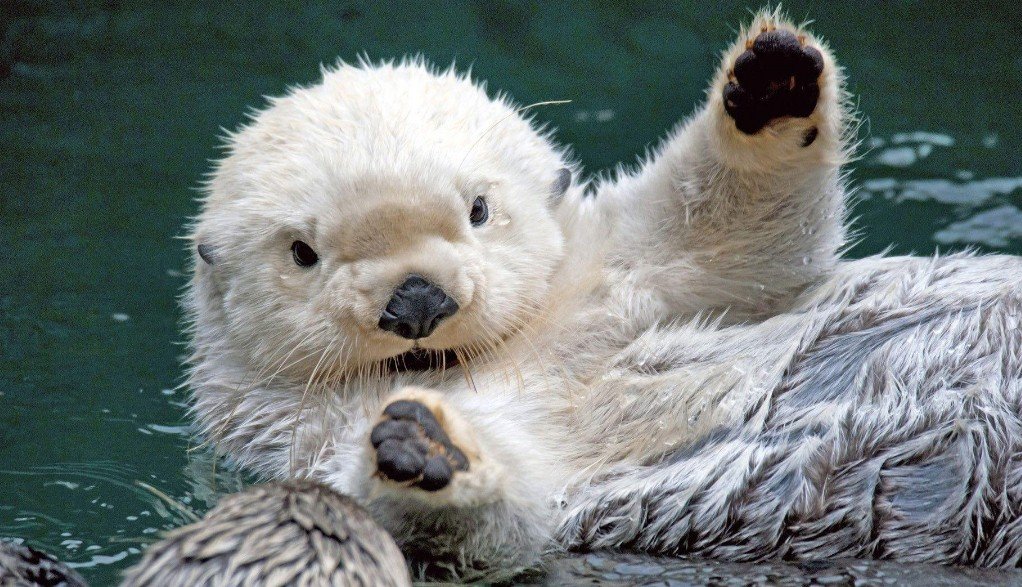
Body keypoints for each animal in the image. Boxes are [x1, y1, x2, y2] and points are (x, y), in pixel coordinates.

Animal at [185, 8, 1022, 580]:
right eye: (303, 253)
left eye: (478, 210)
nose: (416, 301)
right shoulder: (307, 440)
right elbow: (489, 518)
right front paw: (426, 447)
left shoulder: (620, 277)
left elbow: (736, 231)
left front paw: (770, 85)